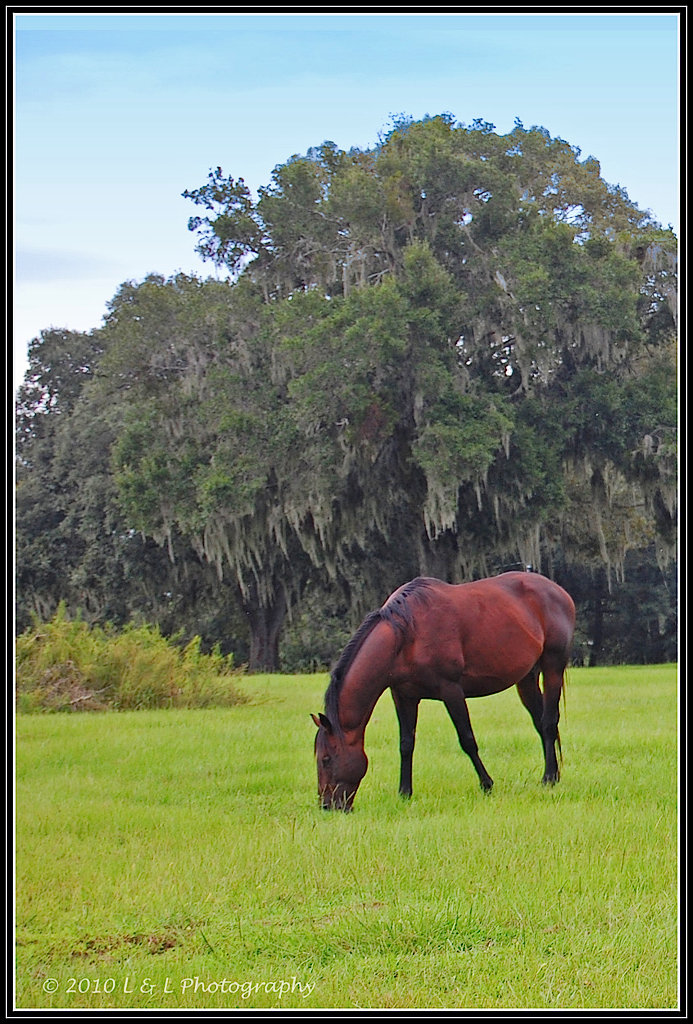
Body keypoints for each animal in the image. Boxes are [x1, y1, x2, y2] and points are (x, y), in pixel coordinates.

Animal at [312, 572, 575, 811]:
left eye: (326, 759)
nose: (327, 806)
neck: (406, 635)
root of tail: (560, 592)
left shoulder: (451, 690)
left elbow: (467, 739)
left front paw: (487, 784)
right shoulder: (404, 696)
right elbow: (406, 743)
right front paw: (404, 793)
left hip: (552, 665)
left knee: (549, 722)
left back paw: (549, 778)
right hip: (526, 678)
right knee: (540, 723)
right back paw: (553, 774)